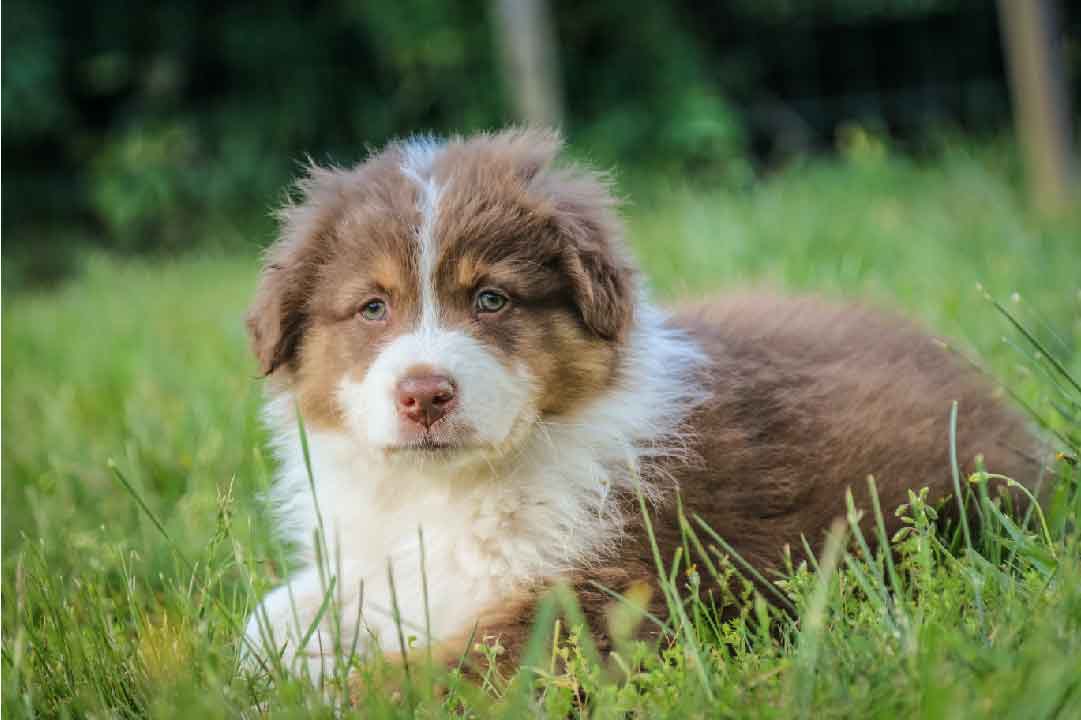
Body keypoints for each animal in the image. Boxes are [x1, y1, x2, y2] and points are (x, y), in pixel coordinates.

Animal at [243, 127, 1037, 678]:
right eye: (373, 308)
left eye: (491, 299)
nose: (424, 394)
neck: (444, 490)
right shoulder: (367, 558)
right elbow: (266, 622)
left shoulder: (609, 596)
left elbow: (435, 675)